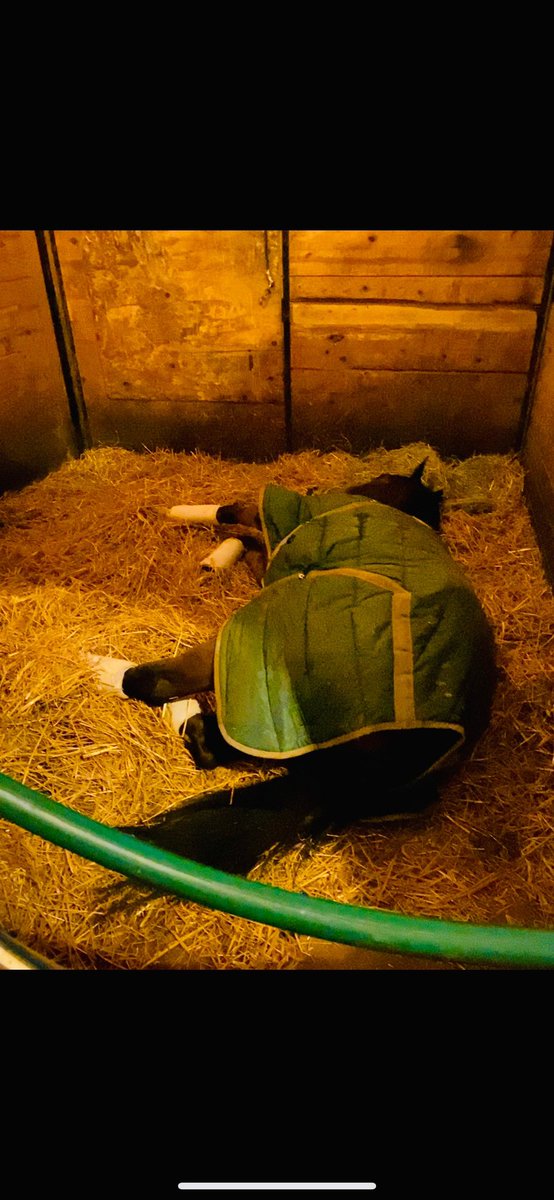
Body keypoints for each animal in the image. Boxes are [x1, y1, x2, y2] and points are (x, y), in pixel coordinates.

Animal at [89, 461, 497, 876]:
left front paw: (191, 518)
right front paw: (227, 551)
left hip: (253, 644)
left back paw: (112, 673)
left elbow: (235, 510)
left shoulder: (280, 514)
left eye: (382, 478)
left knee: (166, 692)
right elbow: (253, 548)